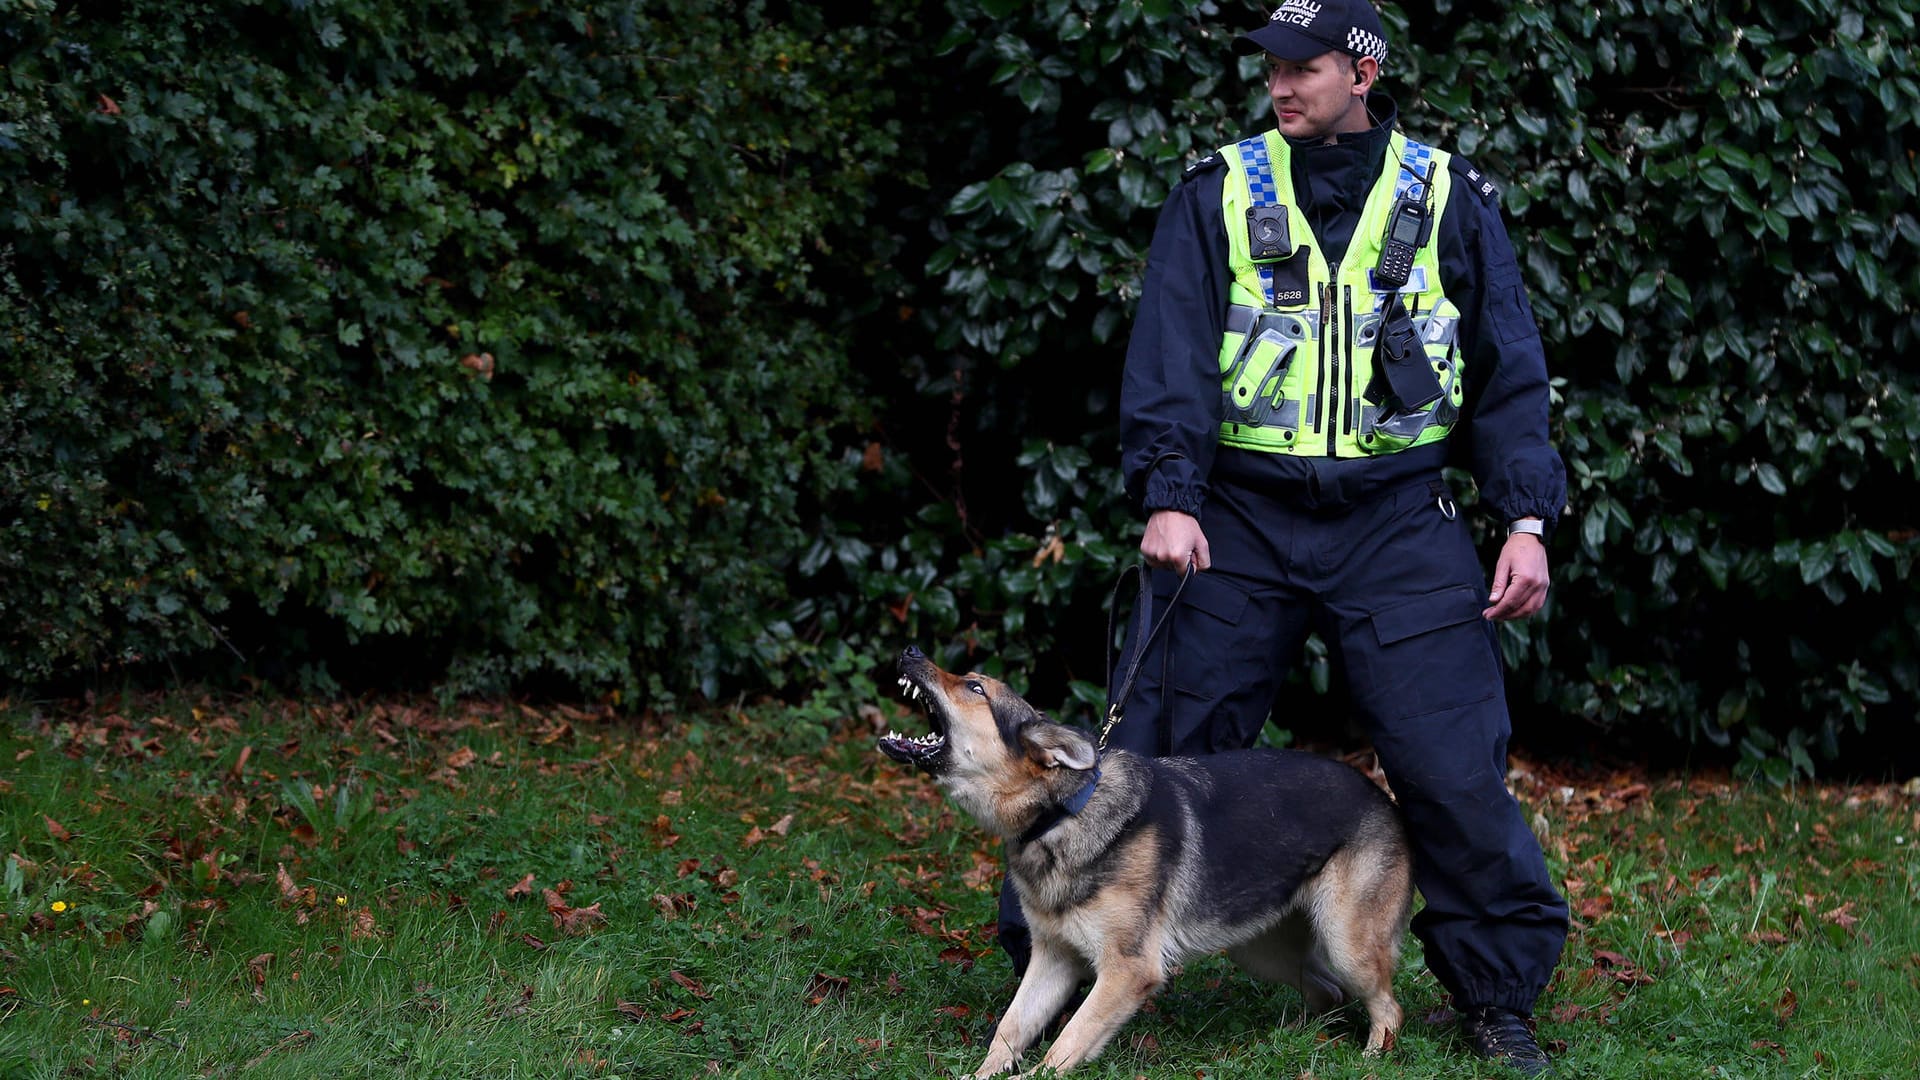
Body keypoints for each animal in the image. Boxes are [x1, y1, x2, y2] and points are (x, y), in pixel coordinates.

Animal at [879, 641, 1413, 1068]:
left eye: (974, 687)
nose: (909, 650)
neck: (1063, 813)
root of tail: (1381, 796)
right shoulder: (1053, 960)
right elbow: (1010, 1031)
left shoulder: (1127, 971)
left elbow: (1064, 1046)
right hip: (1259, 950)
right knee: (1328, 992)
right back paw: (1300, 1039)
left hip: (1346, 944)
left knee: (1388, 1007)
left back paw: (1371, 1056)